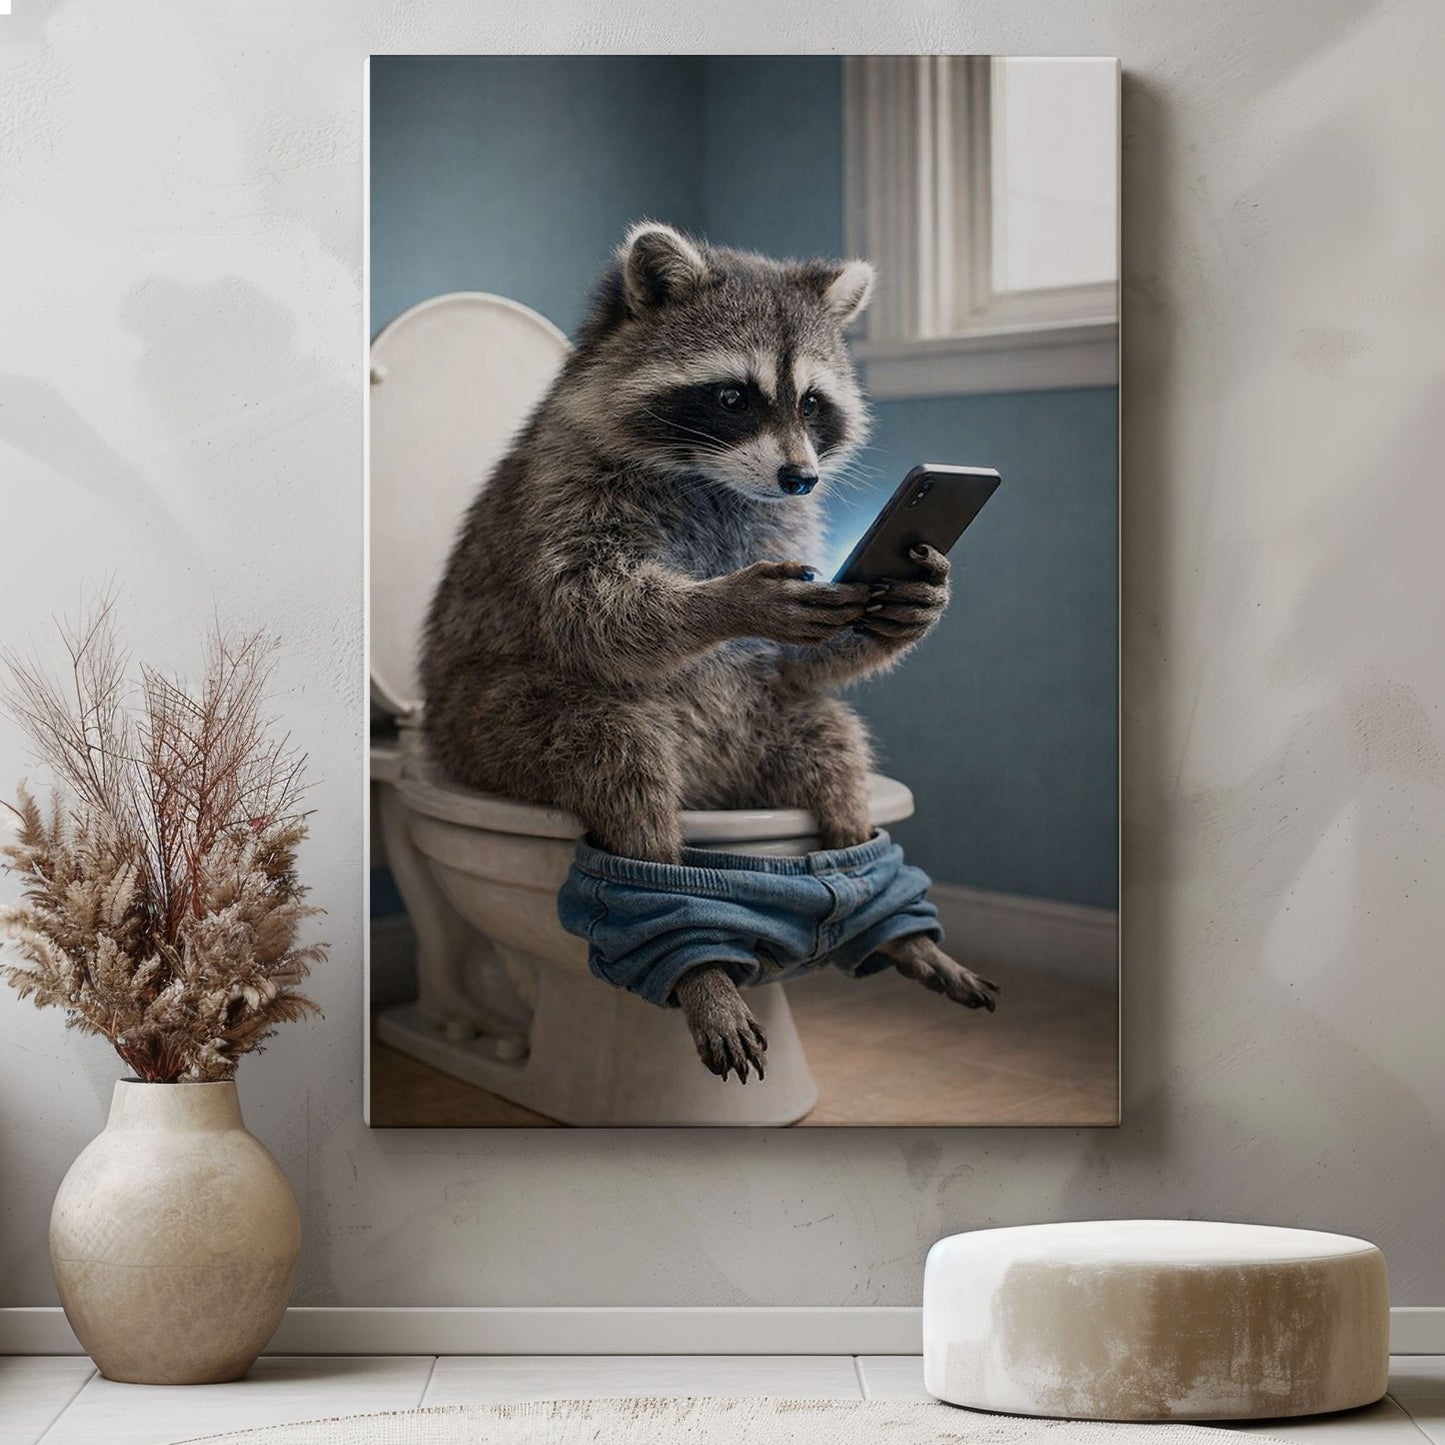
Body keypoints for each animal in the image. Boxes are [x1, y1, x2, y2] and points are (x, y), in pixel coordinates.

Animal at [421, 222, 998, 1084]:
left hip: (762, 732)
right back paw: (698, 966)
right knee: (616, 752)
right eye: (733, 397)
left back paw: (891, 917)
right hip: (486, 726)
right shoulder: (565, 486)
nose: (801, 477)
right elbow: (585, 611)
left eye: (811, 403)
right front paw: (726, 600)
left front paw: (910, 606)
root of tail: (710, 782)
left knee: (831, 739)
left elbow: (796, 662)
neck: (710, 476)